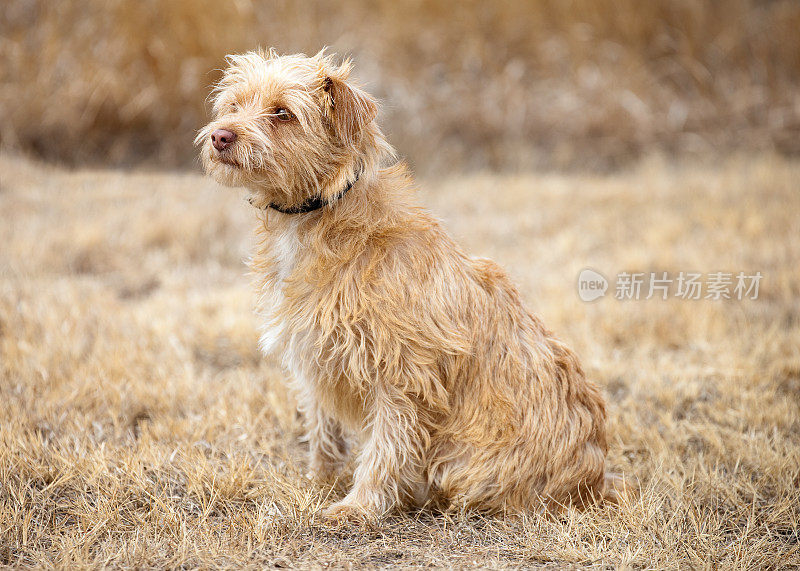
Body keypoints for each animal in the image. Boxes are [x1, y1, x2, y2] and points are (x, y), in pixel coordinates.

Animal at [195, 50, 620, 524]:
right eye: (234, 105)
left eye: (282, 113)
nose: (219, 136)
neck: (319, 215)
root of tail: (592, 487)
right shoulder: (315, 356)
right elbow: (323, 430)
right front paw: (318, 484)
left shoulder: (403, 372)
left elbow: (387, 445)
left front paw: (358, 506)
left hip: (463, 466)